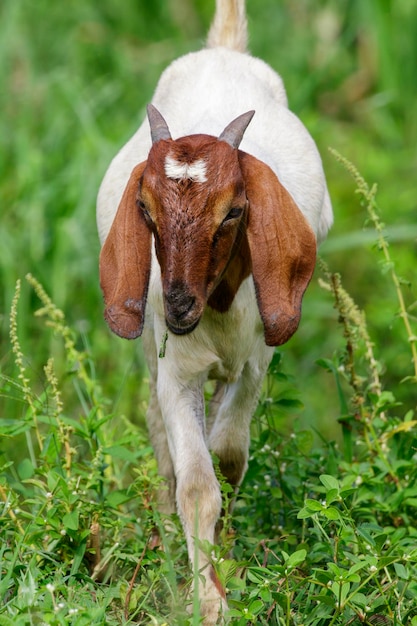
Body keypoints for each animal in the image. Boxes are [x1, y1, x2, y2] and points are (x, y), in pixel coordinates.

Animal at [96, 0, 332, 620]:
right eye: (145, 209)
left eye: (232, 211)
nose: (181, 304)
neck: (217, 311)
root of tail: (224, 49)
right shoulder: (176, 368)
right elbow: (196, 483)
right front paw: (208, 601)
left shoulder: (255, 362)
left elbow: (229, 455)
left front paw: (228, 560)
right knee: (160, 436)